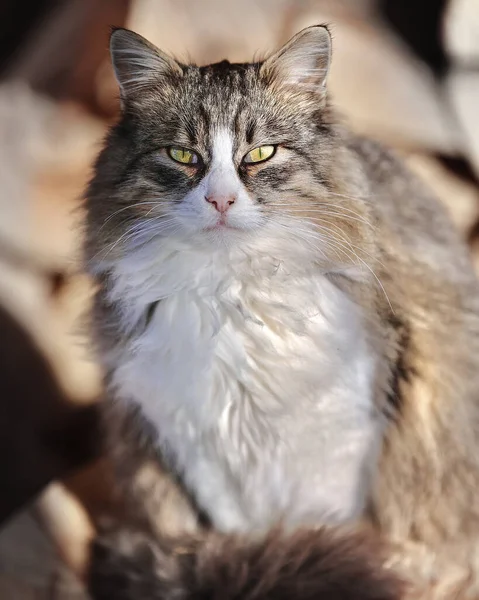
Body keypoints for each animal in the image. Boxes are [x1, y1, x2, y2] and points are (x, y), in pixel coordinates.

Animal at [84, 24, 479, 600]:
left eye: (261, 153)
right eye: (182, 154)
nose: (221, 201)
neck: (228, 287)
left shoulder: (341, 434)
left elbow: (317, 528)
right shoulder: (194, 440)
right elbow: (245, 537)